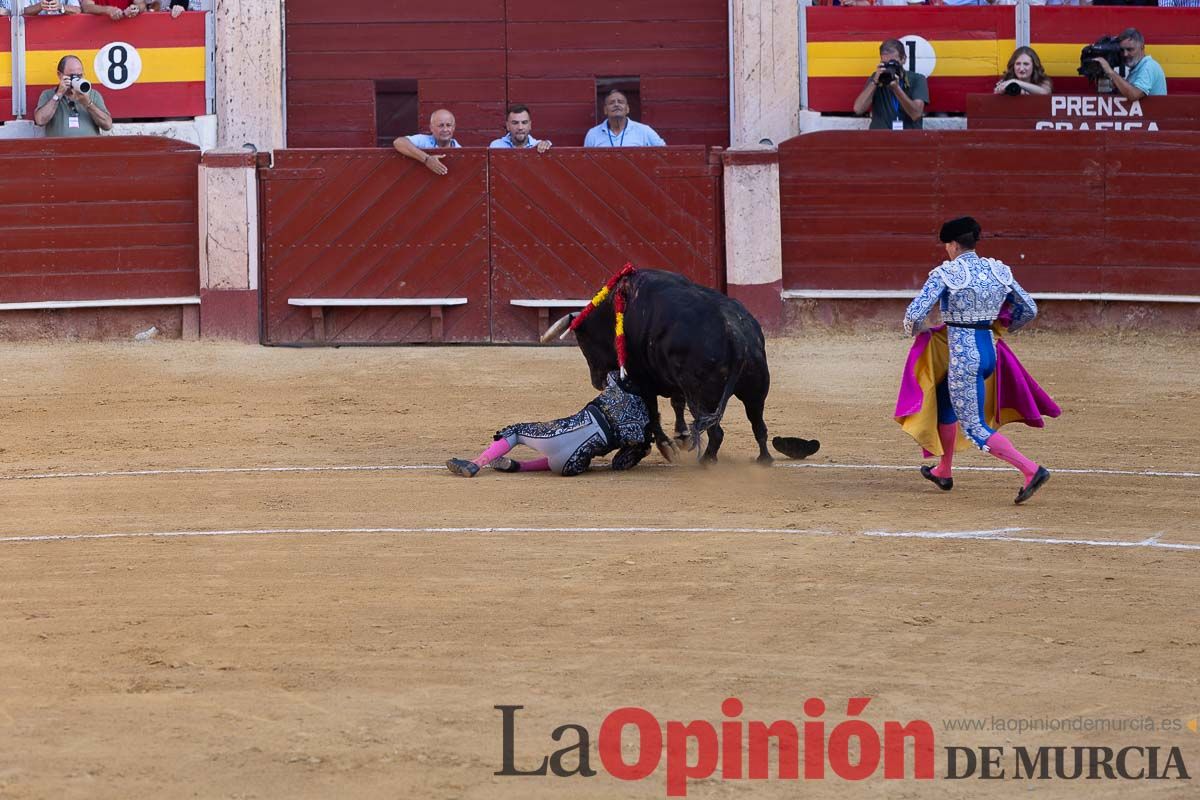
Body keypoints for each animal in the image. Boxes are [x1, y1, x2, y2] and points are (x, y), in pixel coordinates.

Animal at [542, 268, 816, 462]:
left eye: (583, 341)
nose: (597, 382)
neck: (616, 310)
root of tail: (736, 335)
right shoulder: (672, 378)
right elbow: (675, 403)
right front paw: (682, 437)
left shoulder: (641, 380)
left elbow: (653, 412)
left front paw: (668, 447)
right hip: (755, 388)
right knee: (758, 424)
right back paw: (763, 459)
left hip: (703, 395)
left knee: (716, 431)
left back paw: (706, 461)